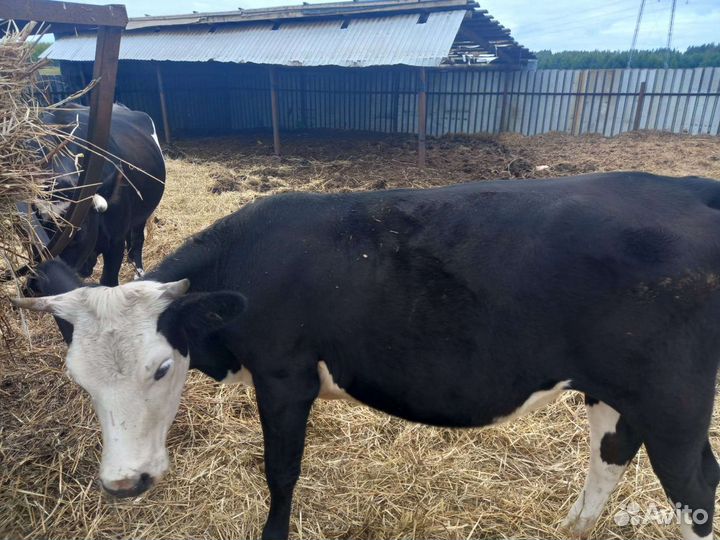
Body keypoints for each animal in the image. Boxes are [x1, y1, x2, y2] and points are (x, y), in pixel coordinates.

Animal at [12, 171, 720, 540]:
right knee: (611, 454)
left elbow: (281, 473)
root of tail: (683, 186)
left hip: (676, 404)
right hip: (617, 389)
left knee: (696, 487)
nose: (123, 484)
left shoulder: (284, 375)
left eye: (162, 368)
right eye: (80, 381)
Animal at [39, 103, 165, 286]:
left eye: (78, 230)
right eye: (42, 230)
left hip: (143, 213)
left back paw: (138, 271)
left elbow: (108, 281)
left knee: (137, 239)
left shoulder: (116, 242)